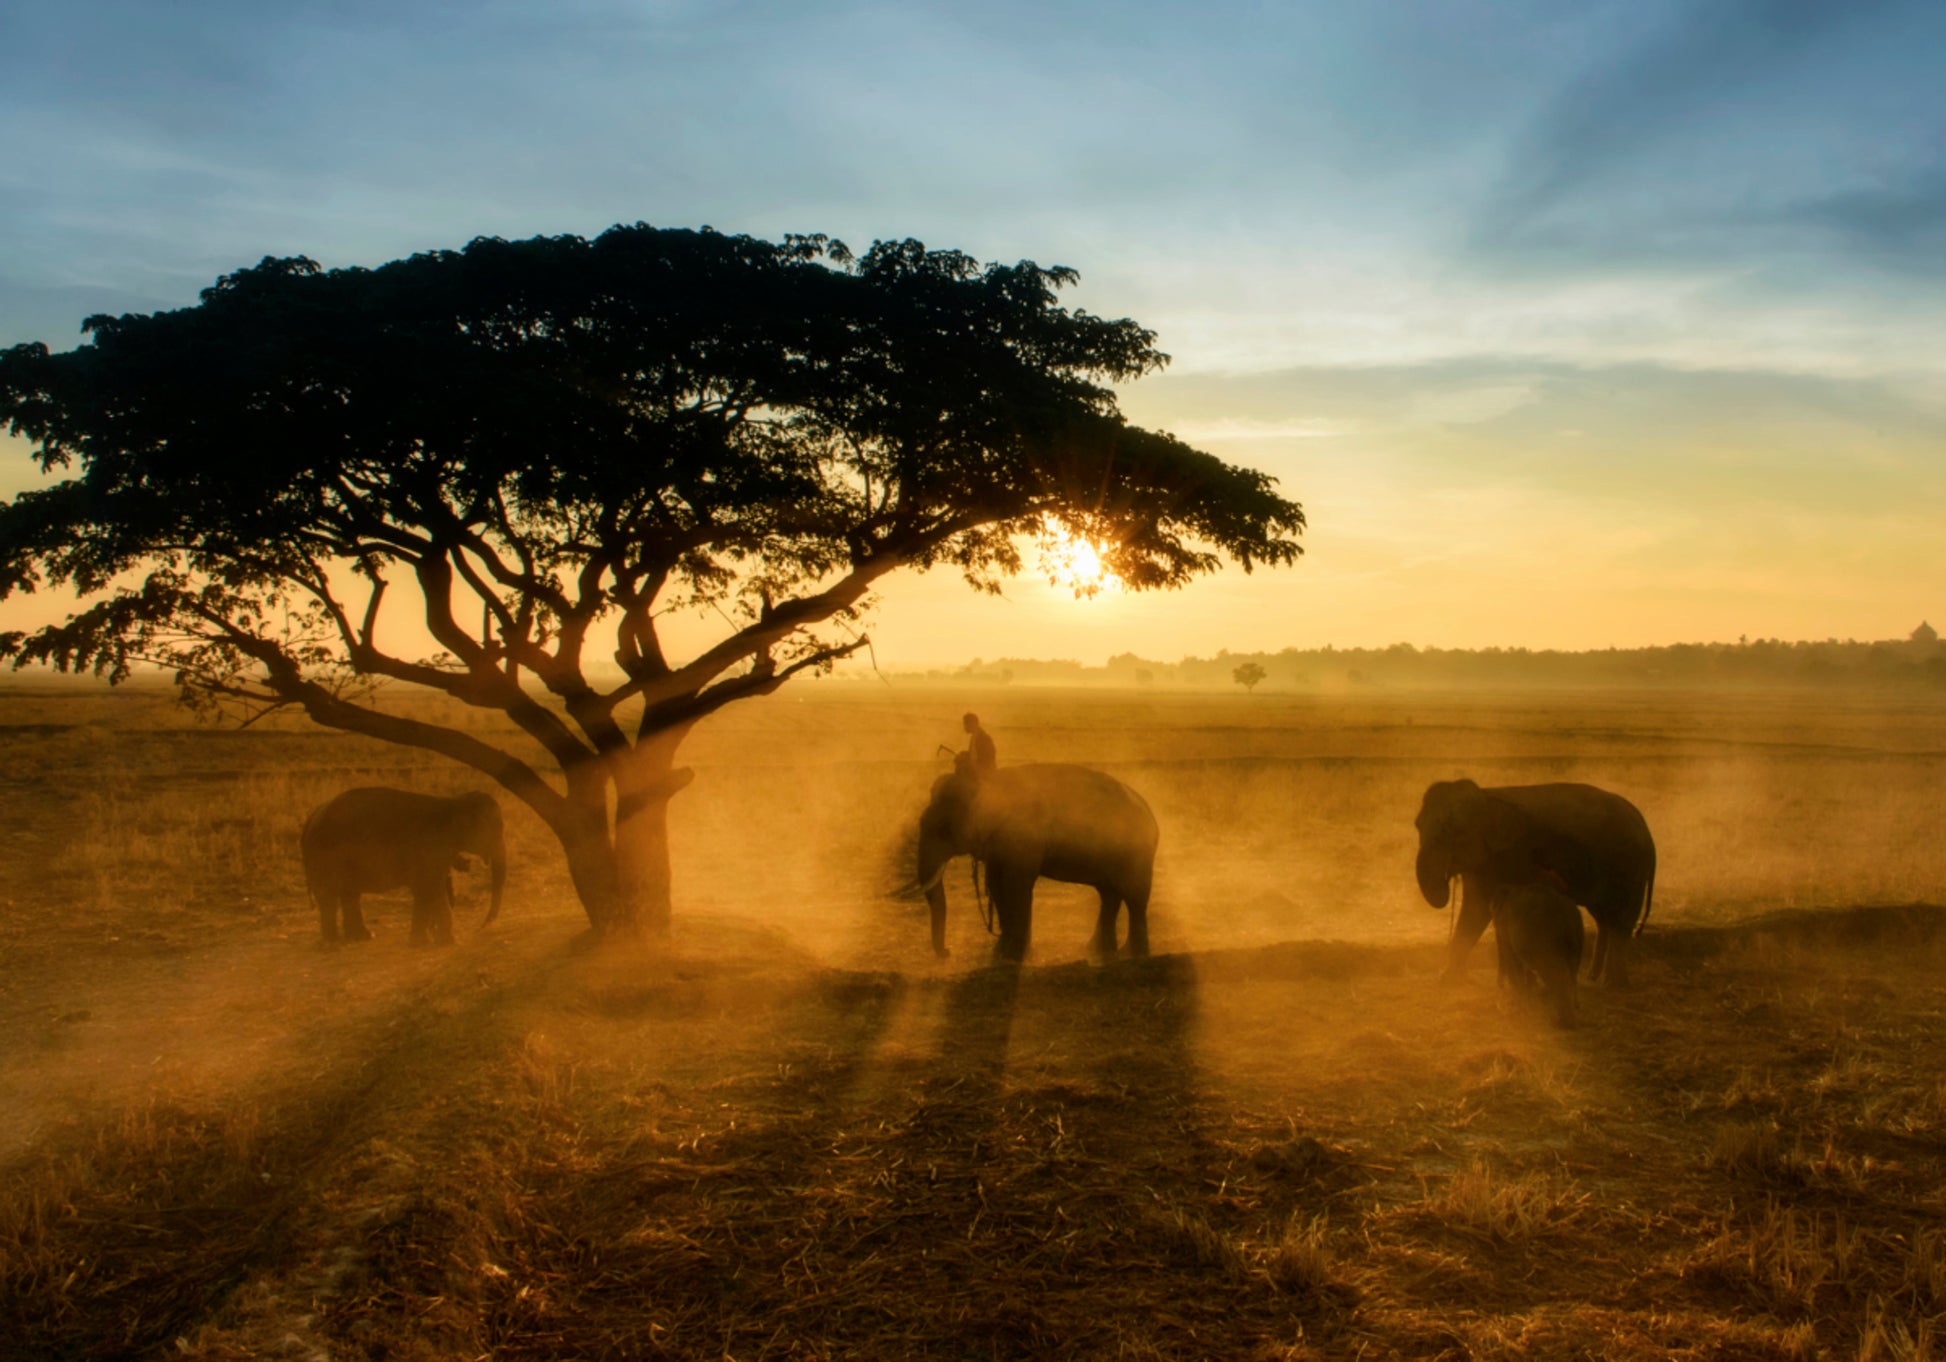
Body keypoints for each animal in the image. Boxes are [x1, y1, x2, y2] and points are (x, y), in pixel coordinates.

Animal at [301, 787, 506, 945]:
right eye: (493, 828)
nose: (480, 929)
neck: (453, 802)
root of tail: (311, 817)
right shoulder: (429, 848)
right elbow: (430, 888)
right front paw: (446, 943)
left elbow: (425, 890)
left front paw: (421, 943)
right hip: (324, 856)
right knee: (329, 897)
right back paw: (333, 944)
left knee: (349, 894)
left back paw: (362, 937)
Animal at [917, 763, 1158, 963]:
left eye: (942, 829)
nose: (947, 952)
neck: (989, 780)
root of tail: (1150, 812)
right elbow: (997, 885)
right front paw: (1000, 953)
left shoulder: (1025, 839)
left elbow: (1016, 886)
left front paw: (1013, 958)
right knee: (1110, 894)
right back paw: (1099, 951)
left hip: (1137, 853)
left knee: (1134, 897)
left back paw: (1135, 955)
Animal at [1414, 779, 1654, 986]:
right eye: (1417, 826)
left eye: (1451, 832)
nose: (1446, 881)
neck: (1486, 796)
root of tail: (1643, 823)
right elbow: (1474, 910)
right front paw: (1450, 980)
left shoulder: (1508, 857)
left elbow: (1477, 910)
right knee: (1603, 917)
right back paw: (1593, 978)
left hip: (1629, 865)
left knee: (1621, 918)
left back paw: (1612, 984)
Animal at [1491, 879, 1586, 1027]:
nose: (1500, 987)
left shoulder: (1504, 929)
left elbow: (1513, 960)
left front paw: (1520, 1004)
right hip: (1577, 939)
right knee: (1572, 971)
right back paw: (1574, 1011)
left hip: (1547, 941)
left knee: (1556, 972)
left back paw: (1564, 1021)